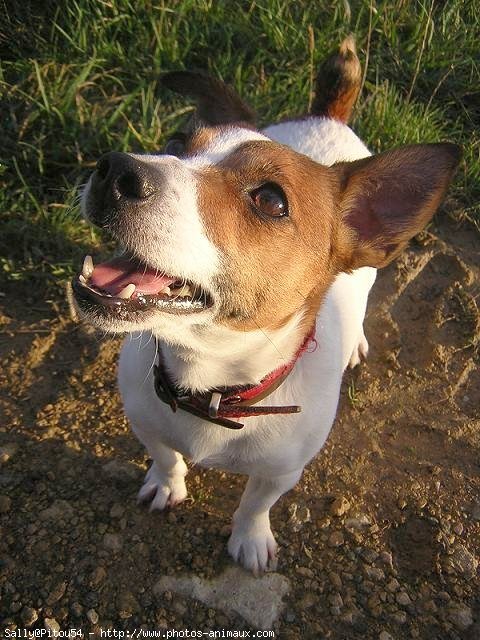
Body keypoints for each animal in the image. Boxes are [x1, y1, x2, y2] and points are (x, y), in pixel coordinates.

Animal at [72, 40, 462, 576]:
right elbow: (167, 457)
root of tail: (326, 115)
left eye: (272, 201)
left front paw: (250, 539)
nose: (115, 169)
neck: (210, 385)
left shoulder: (282, 472)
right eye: (175, 141)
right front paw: (166, 484)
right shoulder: (145, 421)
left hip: (366, 278)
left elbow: (255, 504)